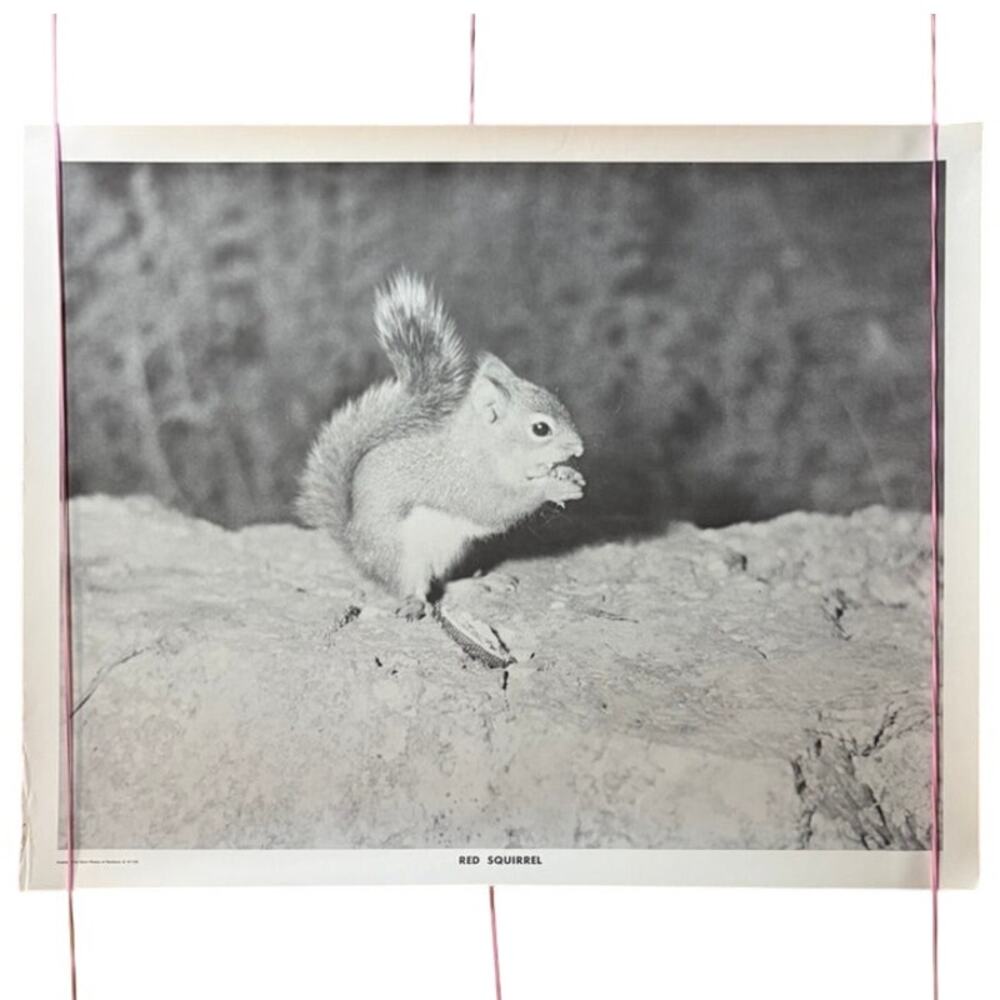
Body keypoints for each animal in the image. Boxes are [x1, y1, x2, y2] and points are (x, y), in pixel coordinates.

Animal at [296, 271, 585, 619]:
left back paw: (476, 583)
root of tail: (358, 550)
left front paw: (568, 474)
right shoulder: (464, 483)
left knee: (442, 583)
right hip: (403, 555)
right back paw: (414, 603)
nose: (579, 448)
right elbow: (499, 506)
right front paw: (554, 488)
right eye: (540, 429)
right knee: (416, 586)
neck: (485, 449)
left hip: (452, 550)